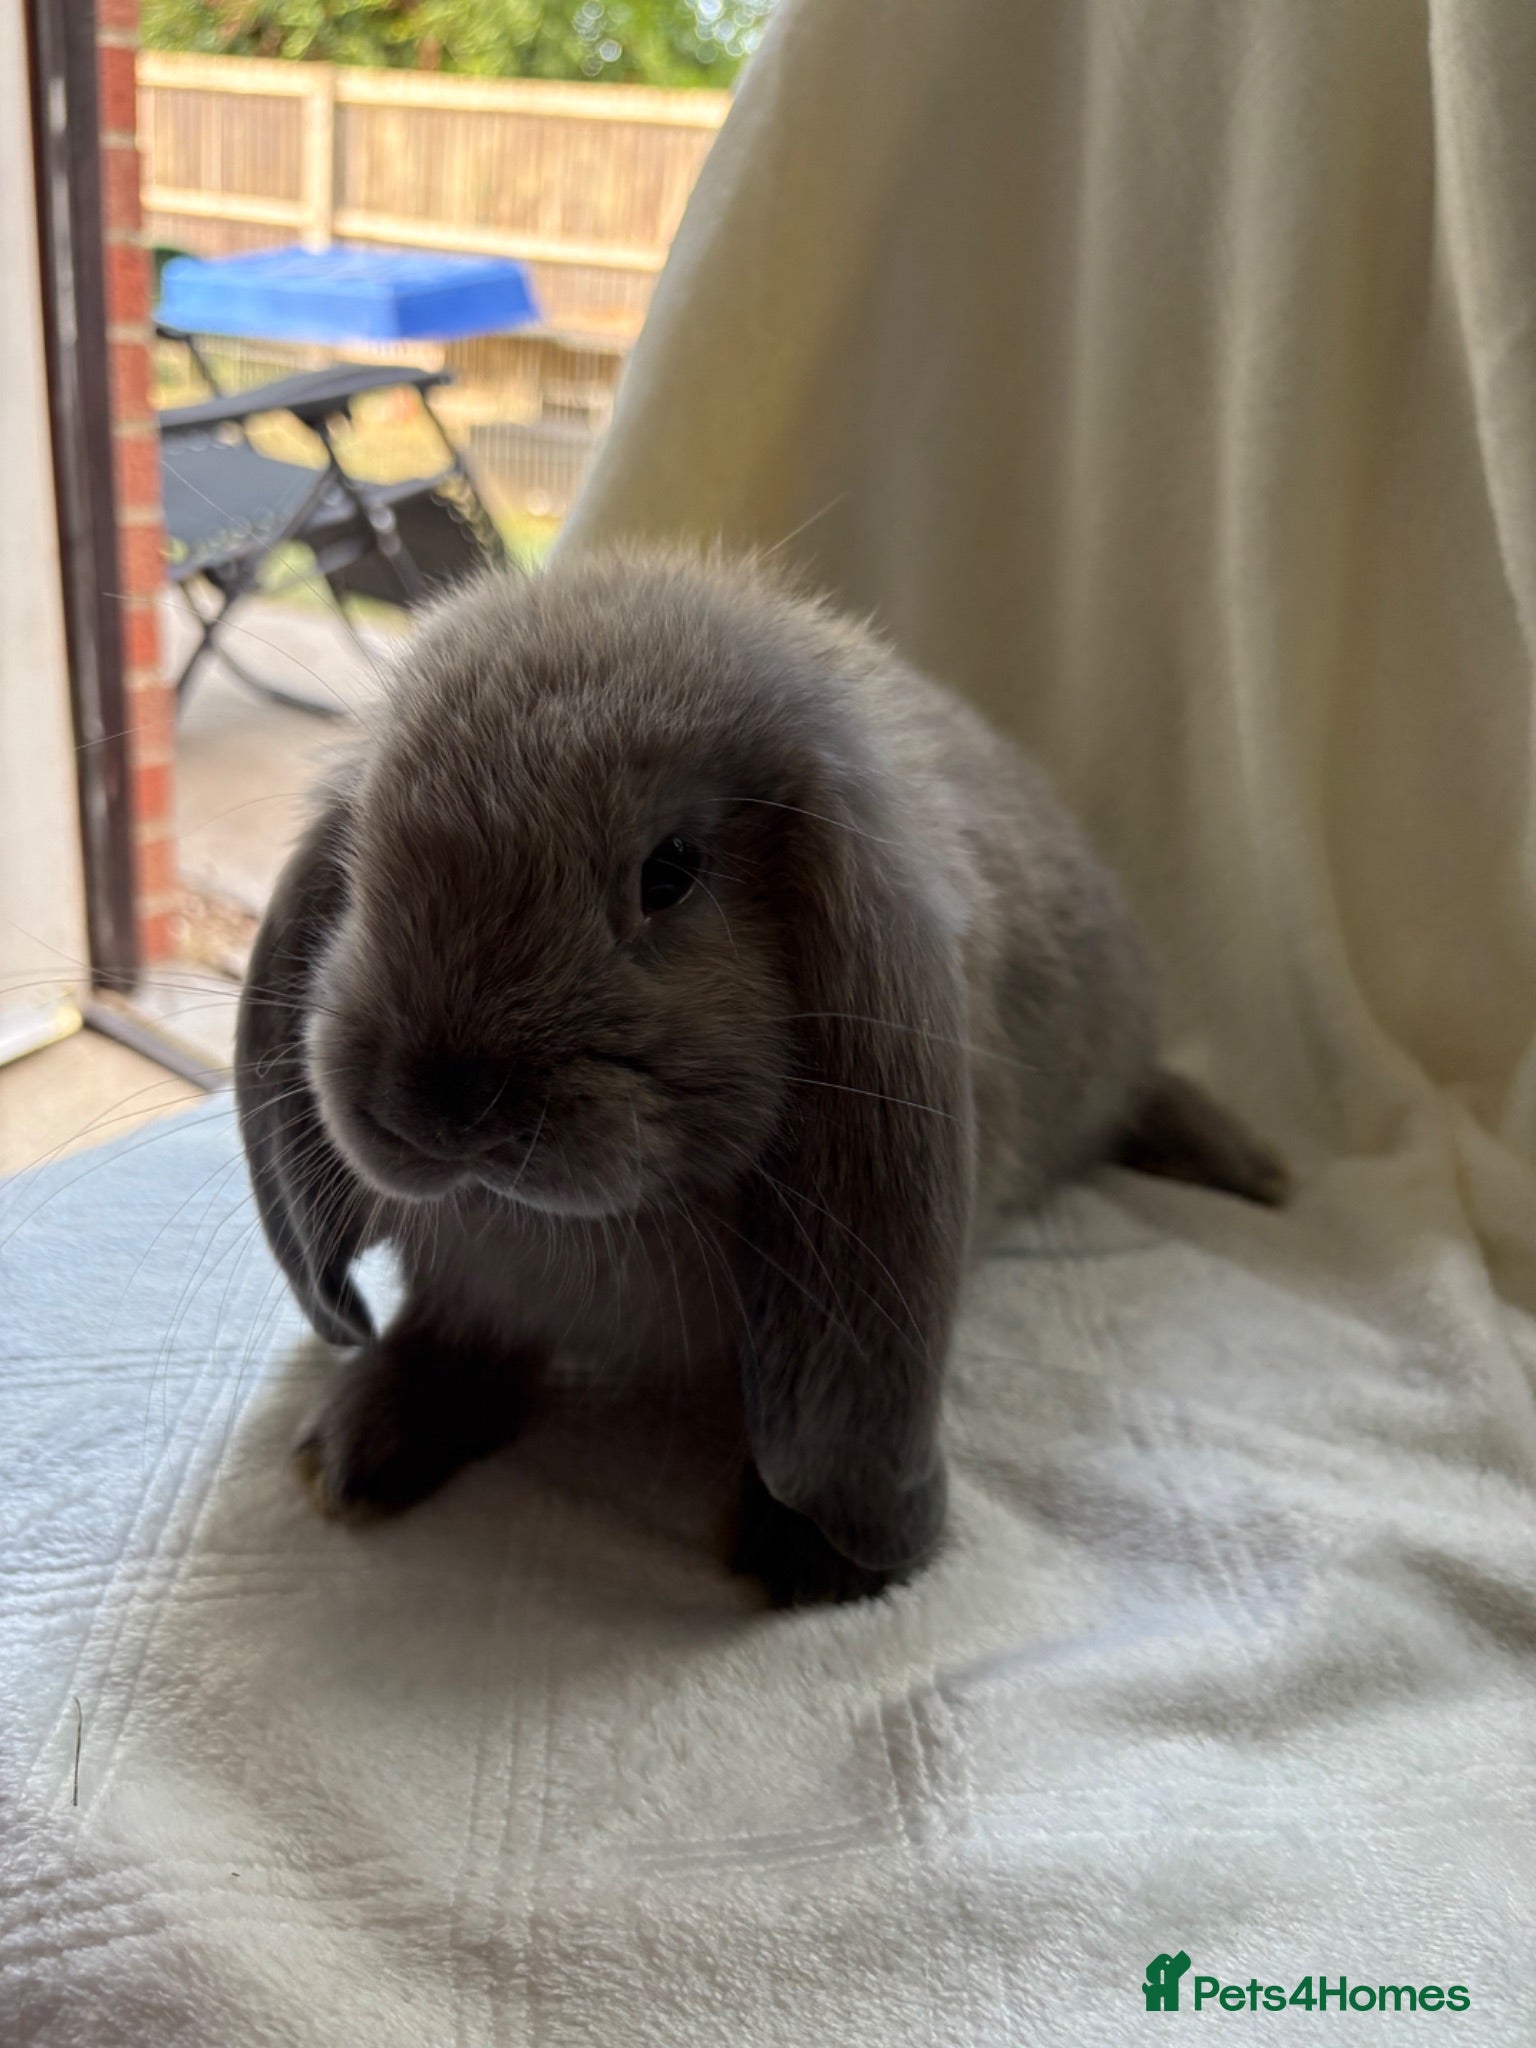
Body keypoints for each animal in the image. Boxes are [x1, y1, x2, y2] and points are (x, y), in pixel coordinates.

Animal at [236, 550, 1286, 1605]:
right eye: (363, 855)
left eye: (671, 872)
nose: (439, 1104)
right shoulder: (478, 1291)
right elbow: (454, 1338)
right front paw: (357, 1447)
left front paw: (810, 1561)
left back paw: (1252, 1169)